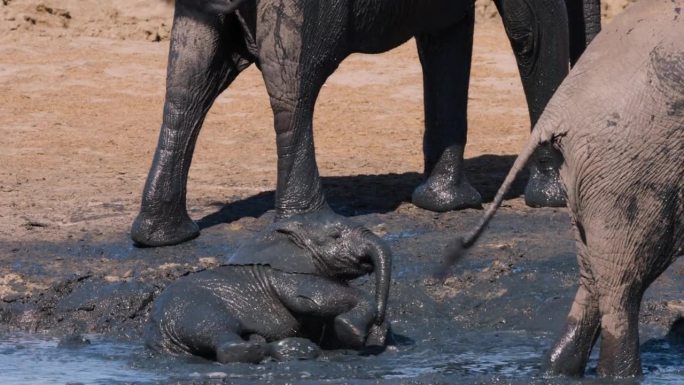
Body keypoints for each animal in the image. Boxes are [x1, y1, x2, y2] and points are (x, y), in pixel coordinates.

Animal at [131, 0, 600, 246]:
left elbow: (446, 32)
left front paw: (444, 204)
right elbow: (531, 31)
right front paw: (555, 197)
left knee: (187, 82)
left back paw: (163, 236)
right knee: (293, 81)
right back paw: (313, 228)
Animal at [144, 210, 390, 364]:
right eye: (335, 236)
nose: (378, 319)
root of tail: (159, 337)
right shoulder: (285, 275)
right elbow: (314, 299)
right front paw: (354, 332)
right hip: (194, 308)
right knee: (222, 336)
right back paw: (296, 350)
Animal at [444, 0, 684, 376]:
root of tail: (558, 110)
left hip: (599, 172)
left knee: (594, 278)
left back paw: (554, 370)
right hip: (631, 169)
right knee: (623, 283)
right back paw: (618, 374)